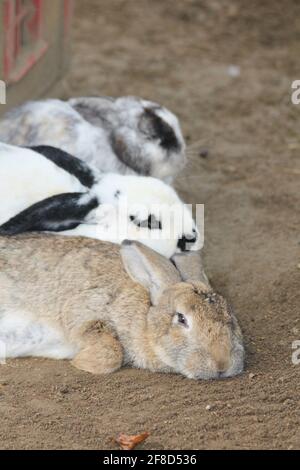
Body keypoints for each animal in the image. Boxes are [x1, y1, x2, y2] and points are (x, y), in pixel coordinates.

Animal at [0, 233, 244, 380]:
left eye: (230, 316)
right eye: (181, 318)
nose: (222, 364)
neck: (145, 316)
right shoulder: (84, 310)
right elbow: (111, 352)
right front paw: (81, 362)